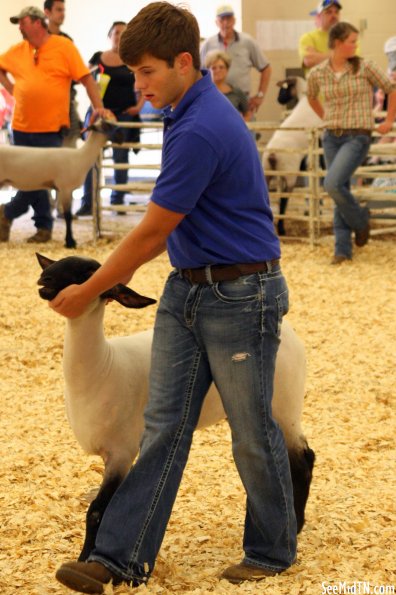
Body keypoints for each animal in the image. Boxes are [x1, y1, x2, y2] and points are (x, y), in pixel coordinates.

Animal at [0, 118, 121, 249]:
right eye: (107, 126)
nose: (122, 137)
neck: (81, 158)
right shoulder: (65, 188)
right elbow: (68, 216)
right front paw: (70, 242)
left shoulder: (68, 190)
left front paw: (70, 241)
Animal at [37, 254, 316, 560]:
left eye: (88, 273)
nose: (44, 280)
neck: (103, 366)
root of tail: (288, 332)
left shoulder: (121, 451)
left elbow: (97, 511)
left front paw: (85, 557)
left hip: (284, 405)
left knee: (304, 459)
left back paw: (297, 526)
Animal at [262, 78, 324, 236]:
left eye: (284, 88)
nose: (279, 99)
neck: (304, 100)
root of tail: (272, 154)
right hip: (290, 174)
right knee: (284, 199)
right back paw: (281, 229)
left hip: (267, 172)